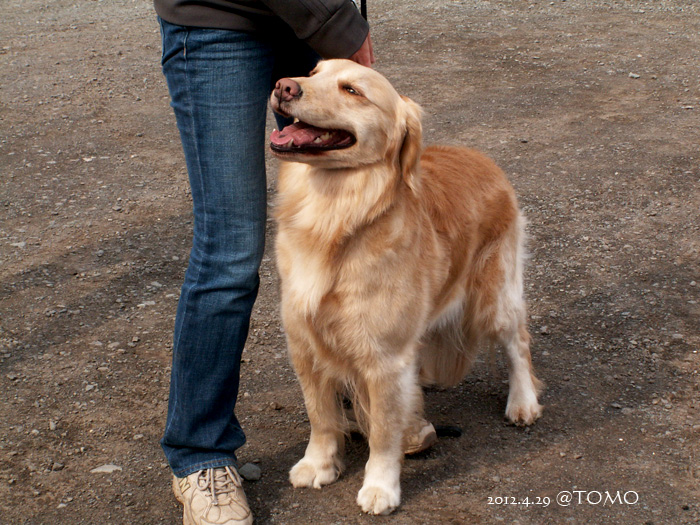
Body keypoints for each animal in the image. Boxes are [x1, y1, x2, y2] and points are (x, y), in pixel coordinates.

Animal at [268, 59, 540, 512]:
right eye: (314, 70)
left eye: (352, 90)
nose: (283, 86)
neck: (336, 217)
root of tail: (482, 158)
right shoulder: (304, 342)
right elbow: (320, 414)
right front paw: (319, 464)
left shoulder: (383, 358)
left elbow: (382, 431)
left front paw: (380, 487)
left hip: (494, 296)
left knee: (517, 342)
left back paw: (523, 401)